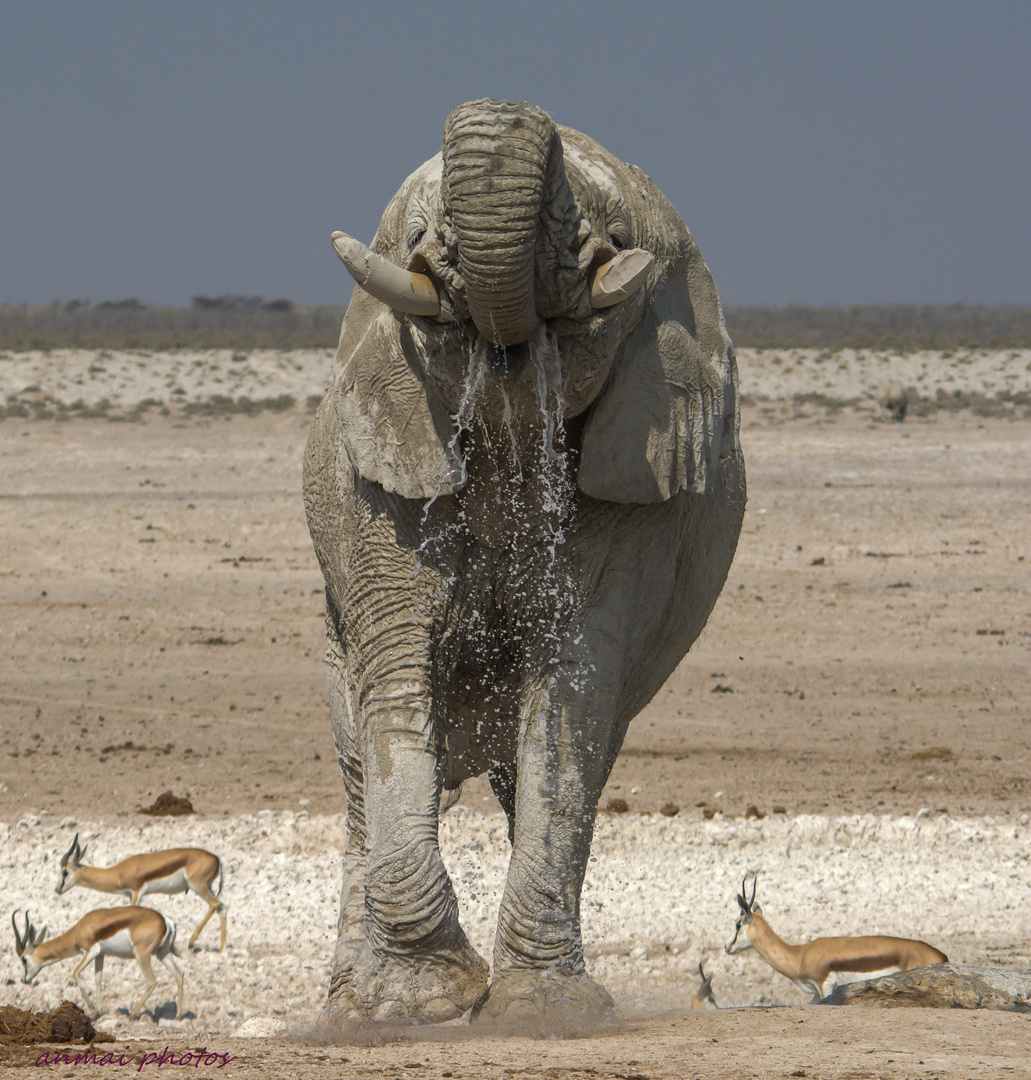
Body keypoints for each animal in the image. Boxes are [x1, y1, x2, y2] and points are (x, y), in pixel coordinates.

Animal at [302, 97, 747, 1023]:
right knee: (359, 768)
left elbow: (570, 695)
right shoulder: (380, 480)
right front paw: (428, 1000)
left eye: (609, 238)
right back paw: (351, 1012)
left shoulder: (644, 491)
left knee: (566, 763)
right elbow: (396, 680)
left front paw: (545, 1012)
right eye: (414, 233)